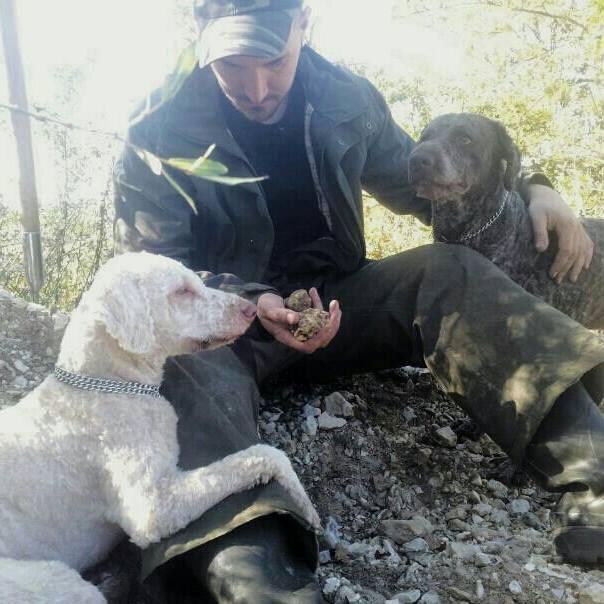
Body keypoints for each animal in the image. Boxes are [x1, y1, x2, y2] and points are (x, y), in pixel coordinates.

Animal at [0, 252, 320, 600]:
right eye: (181, 291)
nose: (251, 310)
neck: (105, 384)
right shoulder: (153, 509)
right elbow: (264, 454)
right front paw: (304, 503)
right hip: (57, 582)